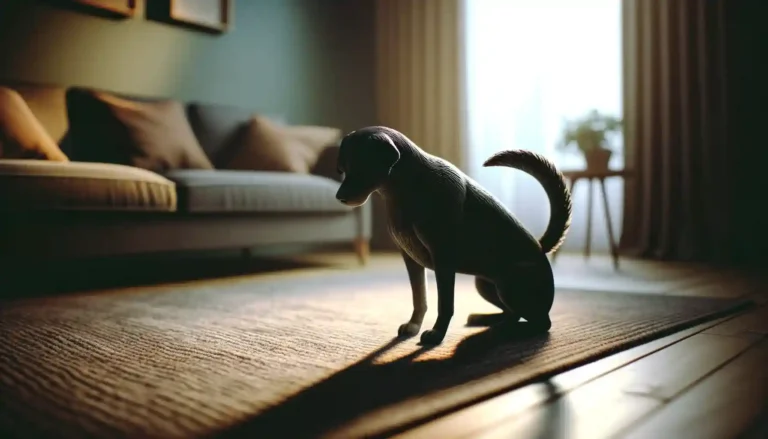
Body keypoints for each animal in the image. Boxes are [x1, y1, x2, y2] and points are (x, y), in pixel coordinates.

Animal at [334, 125, 568, 346]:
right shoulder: (410, 258)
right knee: (513, 313)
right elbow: (419, 298)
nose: (339, 198)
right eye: (343, 170)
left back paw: (505, 330)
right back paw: (487, 321)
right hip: (484, 284)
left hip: (509, 284)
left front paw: (437, 334)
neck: (406, 188)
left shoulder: (443, 260)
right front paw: (413, 326)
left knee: (541, 323)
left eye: (361, 168)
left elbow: (445, 304)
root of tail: (541, 249)